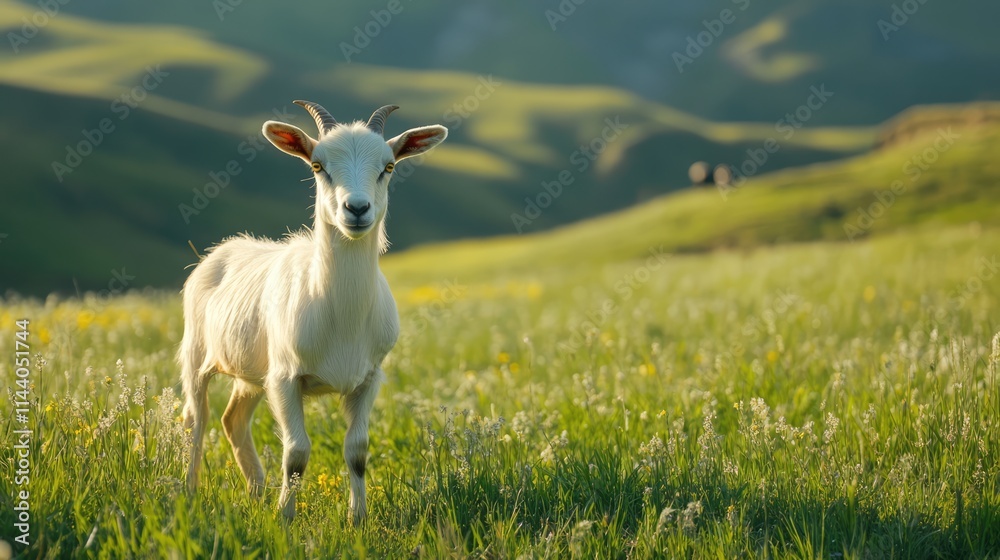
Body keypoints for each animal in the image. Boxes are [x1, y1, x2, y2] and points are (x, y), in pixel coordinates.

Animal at [179, 100, 448, 523]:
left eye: (388, 167)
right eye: (318, 166)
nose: (357, 208)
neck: (343, 318)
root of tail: (223, 249)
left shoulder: (369, 377)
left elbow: (357, 451)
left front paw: (358, 519)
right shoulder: (285, 378)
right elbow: (297, 454)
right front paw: (284, 518)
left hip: (253, 370)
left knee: (232, 419)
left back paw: (256, 491)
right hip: (196, 352)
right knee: (196, 419)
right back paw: (190, 493)